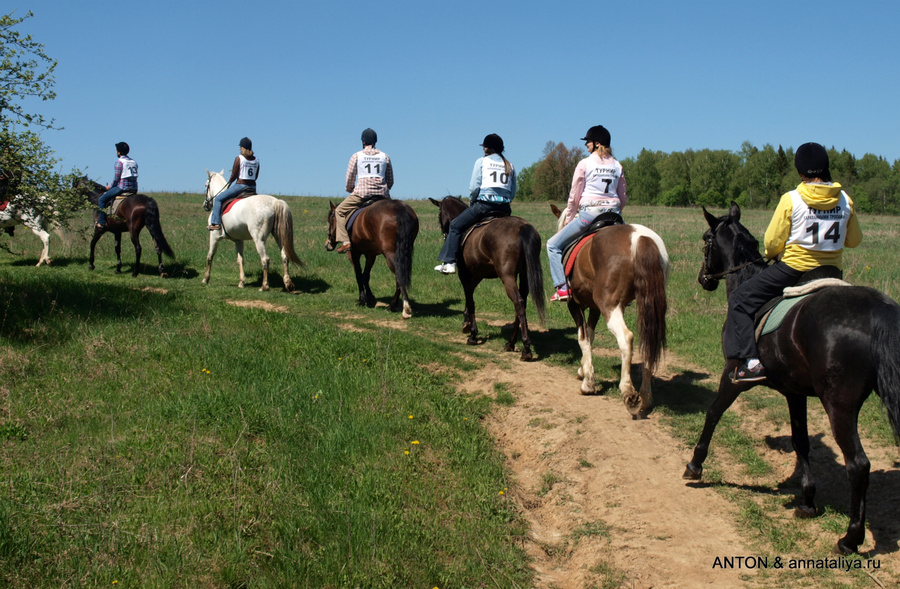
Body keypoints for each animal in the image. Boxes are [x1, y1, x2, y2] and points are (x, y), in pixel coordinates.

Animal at [430, 196, 548, 358]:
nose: (444, 232)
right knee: (521, 304)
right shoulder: (477, 274)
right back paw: (510, 343)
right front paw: (466, 322)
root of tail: (523, 227)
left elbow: (470, 300)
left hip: (507, 276)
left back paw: (526, 348)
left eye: (439, 213)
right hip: (524, 275)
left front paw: (472, 334)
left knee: (518, 302)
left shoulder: (464, 274)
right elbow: (469, 296)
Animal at [548, 204, 668, 416]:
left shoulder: (575, 304)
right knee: (648, 342)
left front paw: (588, 383)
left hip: (609, 306)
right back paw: (645, 398)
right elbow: (590, 335)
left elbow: (583, 338)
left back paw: (628, 391)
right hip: (648, 306)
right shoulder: (595, 307)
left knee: (626, 338)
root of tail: (640, 238)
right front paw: (583, 371)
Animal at [684, 201, 900, 552]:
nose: (704, 279)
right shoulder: (795, 392)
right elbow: (801, 441)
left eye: (706, 240)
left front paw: (695, 464)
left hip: (839, 405)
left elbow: (713, 412)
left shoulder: (732, 374)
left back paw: (850, 538)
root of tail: (878, 308)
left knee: (858, 465)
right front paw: (808, 500)